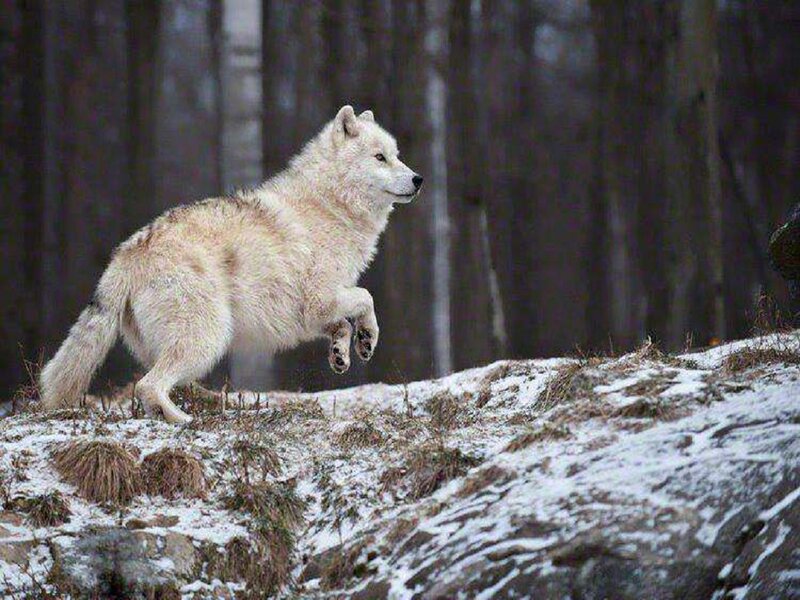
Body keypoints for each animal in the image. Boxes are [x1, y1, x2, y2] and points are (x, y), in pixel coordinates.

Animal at [39, 106, 423, 424]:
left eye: (397, 156)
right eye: (380, 157)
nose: (419, 179)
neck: (330, 206)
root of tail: (128, 251)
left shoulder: (312, 314)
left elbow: (342, 323)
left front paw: (344, 352)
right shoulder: (320, 300)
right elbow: (366, 297)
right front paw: (368, 337)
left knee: (161, 384)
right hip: (207, 339)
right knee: (148, 386)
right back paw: (184, 421)